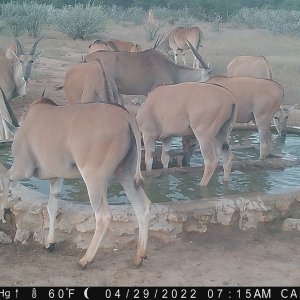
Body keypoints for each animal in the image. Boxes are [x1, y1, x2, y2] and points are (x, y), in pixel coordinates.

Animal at [5, 97, 152, 268]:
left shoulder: (22, 169)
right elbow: (51, 207)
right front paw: (50, 243)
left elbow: (5, 179)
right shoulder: (56, 179)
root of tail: (126, 116)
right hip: (125, 174)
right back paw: (139, 256)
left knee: (104, 216)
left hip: (93, 179)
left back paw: (86, 259)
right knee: (143, 207)